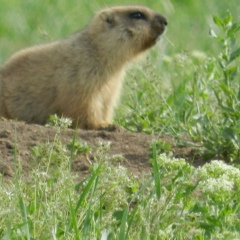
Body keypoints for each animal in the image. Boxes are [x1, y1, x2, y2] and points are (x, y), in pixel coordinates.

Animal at [0, 4, 167, 129]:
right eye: (137, 15)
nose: (166, 20)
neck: (97, 50)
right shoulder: (83, 74)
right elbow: (85, 102)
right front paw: (101, 125)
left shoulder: (113, 84)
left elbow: (107, 104)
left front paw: (109, 122)